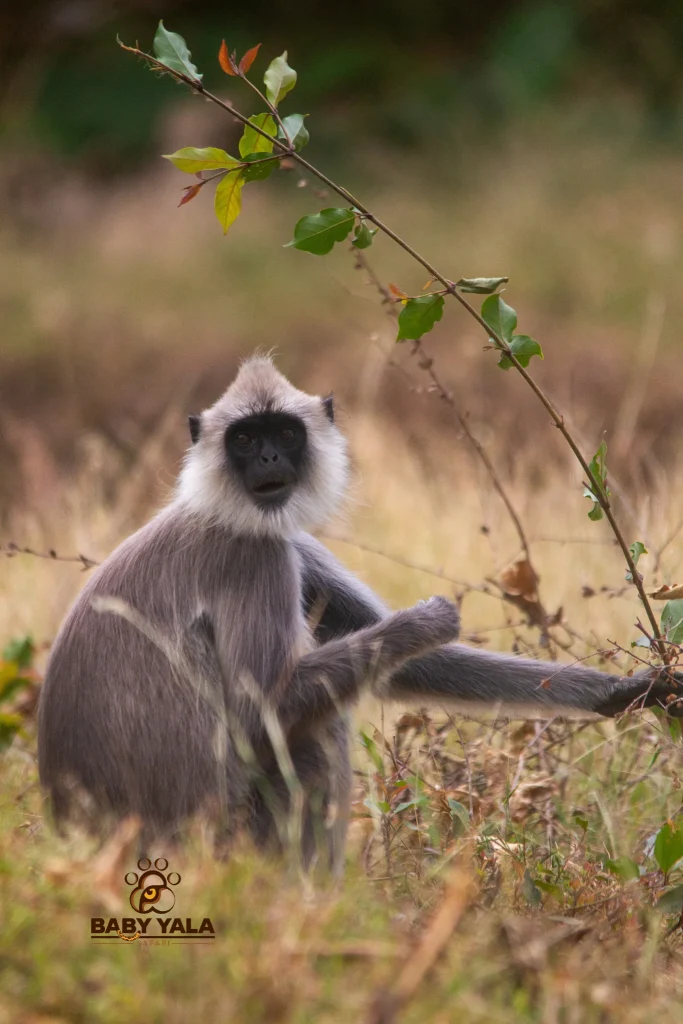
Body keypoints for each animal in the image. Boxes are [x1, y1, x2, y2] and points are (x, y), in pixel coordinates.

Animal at [38, 355, 681, 868]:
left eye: (284, 432)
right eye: (244, 440)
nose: (268, 456)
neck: (218, 508)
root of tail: (78, 828)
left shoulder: (290, 541)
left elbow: (413, 669)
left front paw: (625, 691)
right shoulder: (258, 554)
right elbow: (260, 714)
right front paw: (426, 620)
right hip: (211, 831)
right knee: (315, 731)